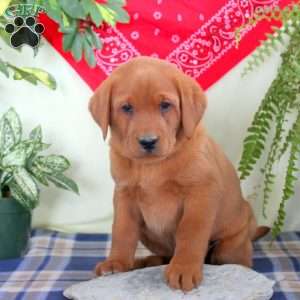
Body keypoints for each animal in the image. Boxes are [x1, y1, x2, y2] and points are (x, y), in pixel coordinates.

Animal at [89, 55, 264, 290]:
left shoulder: (201, 193)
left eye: (165, 105)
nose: (148, 141)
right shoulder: (124, 195)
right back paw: (145, 261)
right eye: (126, 108)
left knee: (237, 261)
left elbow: (190, 232)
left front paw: (184, 268)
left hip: (230, 245)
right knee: (164, 255)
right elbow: (122, 230)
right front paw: (116, 262)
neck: (152, 166)